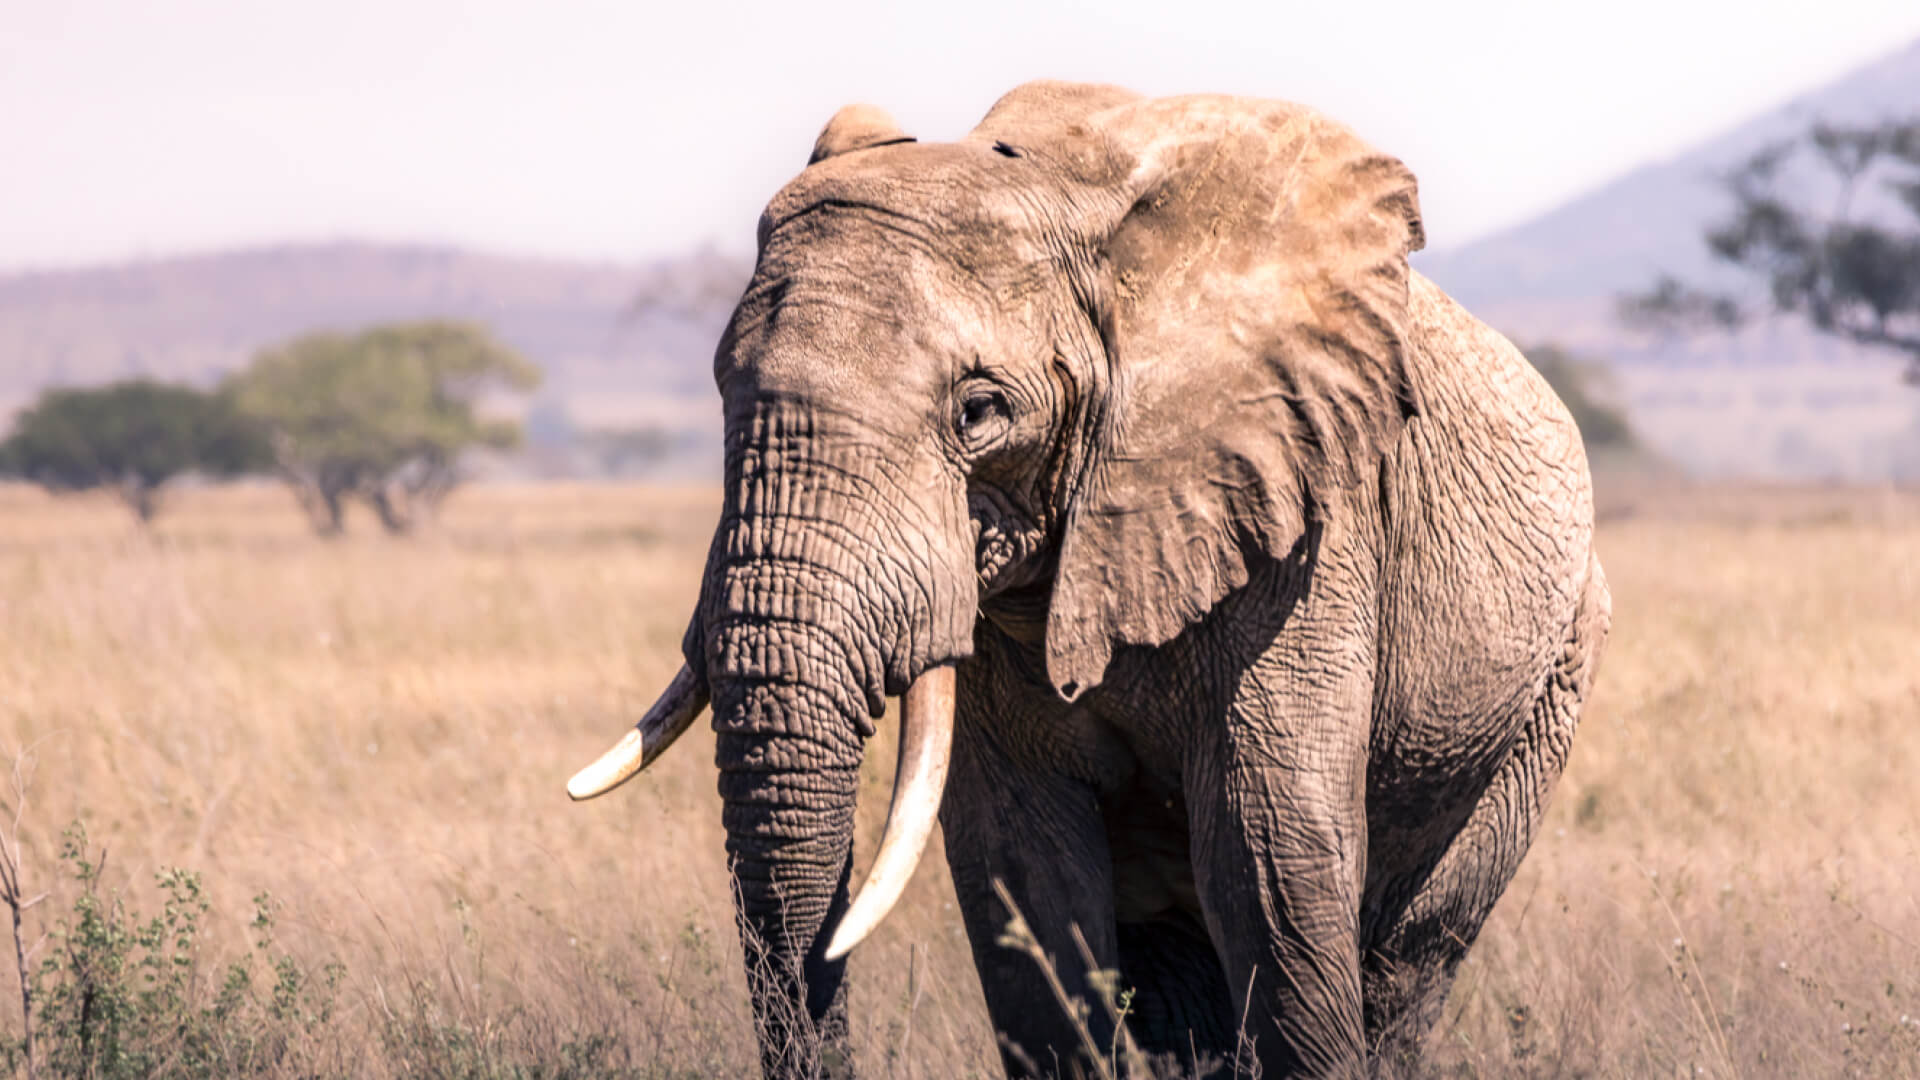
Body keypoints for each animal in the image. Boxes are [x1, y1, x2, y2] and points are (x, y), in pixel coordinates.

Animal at [569, 81, 1612, 1079]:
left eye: (979, 412)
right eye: (722, 387)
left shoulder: (1307, 531)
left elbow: (1269, 860)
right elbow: (1024, 875)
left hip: (1550, 684)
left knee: (1408, 957)